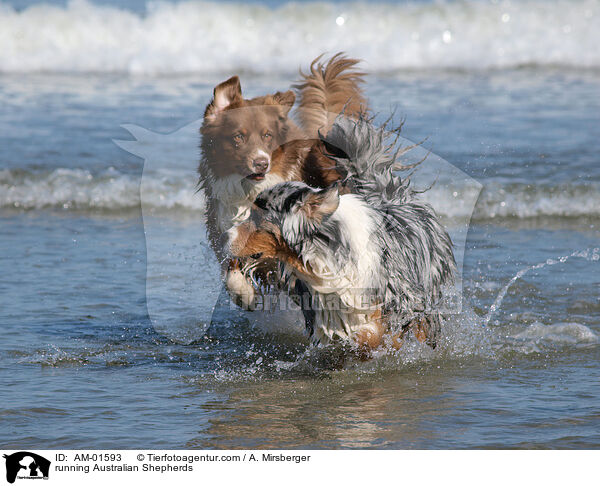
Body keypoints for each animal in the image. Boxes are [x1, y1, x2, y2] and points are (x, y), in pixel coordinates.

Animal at [198, 52, 366, 308]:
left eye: (267, 135)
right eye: (238, 137)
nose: (261, 163)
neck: (249, 190)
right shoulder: (224, 227)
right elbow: (232, 267)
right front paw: (242, 292)